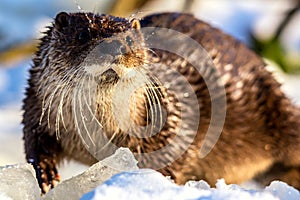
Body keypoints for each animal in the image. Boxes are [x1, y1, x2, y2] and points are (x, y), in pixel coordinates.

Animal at [21, 11, 300, 193]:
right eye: (82, 34)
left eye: (129, 40)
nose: (114, 47)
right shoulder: (36, 109)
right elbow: (35, 144)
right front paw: (45, 174)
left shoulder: (173, 119)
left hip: (276, 107)